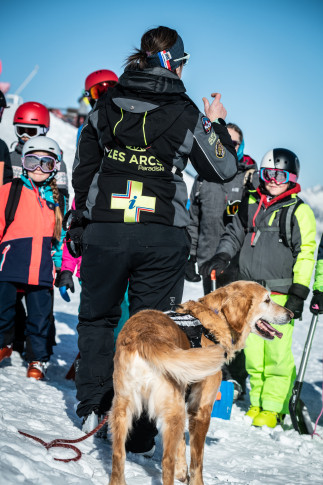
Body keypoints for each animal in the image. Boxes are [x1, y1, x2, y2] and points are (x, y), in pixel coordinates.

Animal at [109, 280, 294, 484]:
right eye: (267, 300)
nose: (291, 314)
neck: (213, 321)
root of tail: (144, 336)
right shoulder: (201, 410)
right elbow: (197, 460)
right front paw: (195, 480)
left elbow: (182, 444)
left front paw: (182, 472)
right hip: (173, 411)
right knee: (166, 461)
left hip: (122, 408)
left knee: (118, 455)